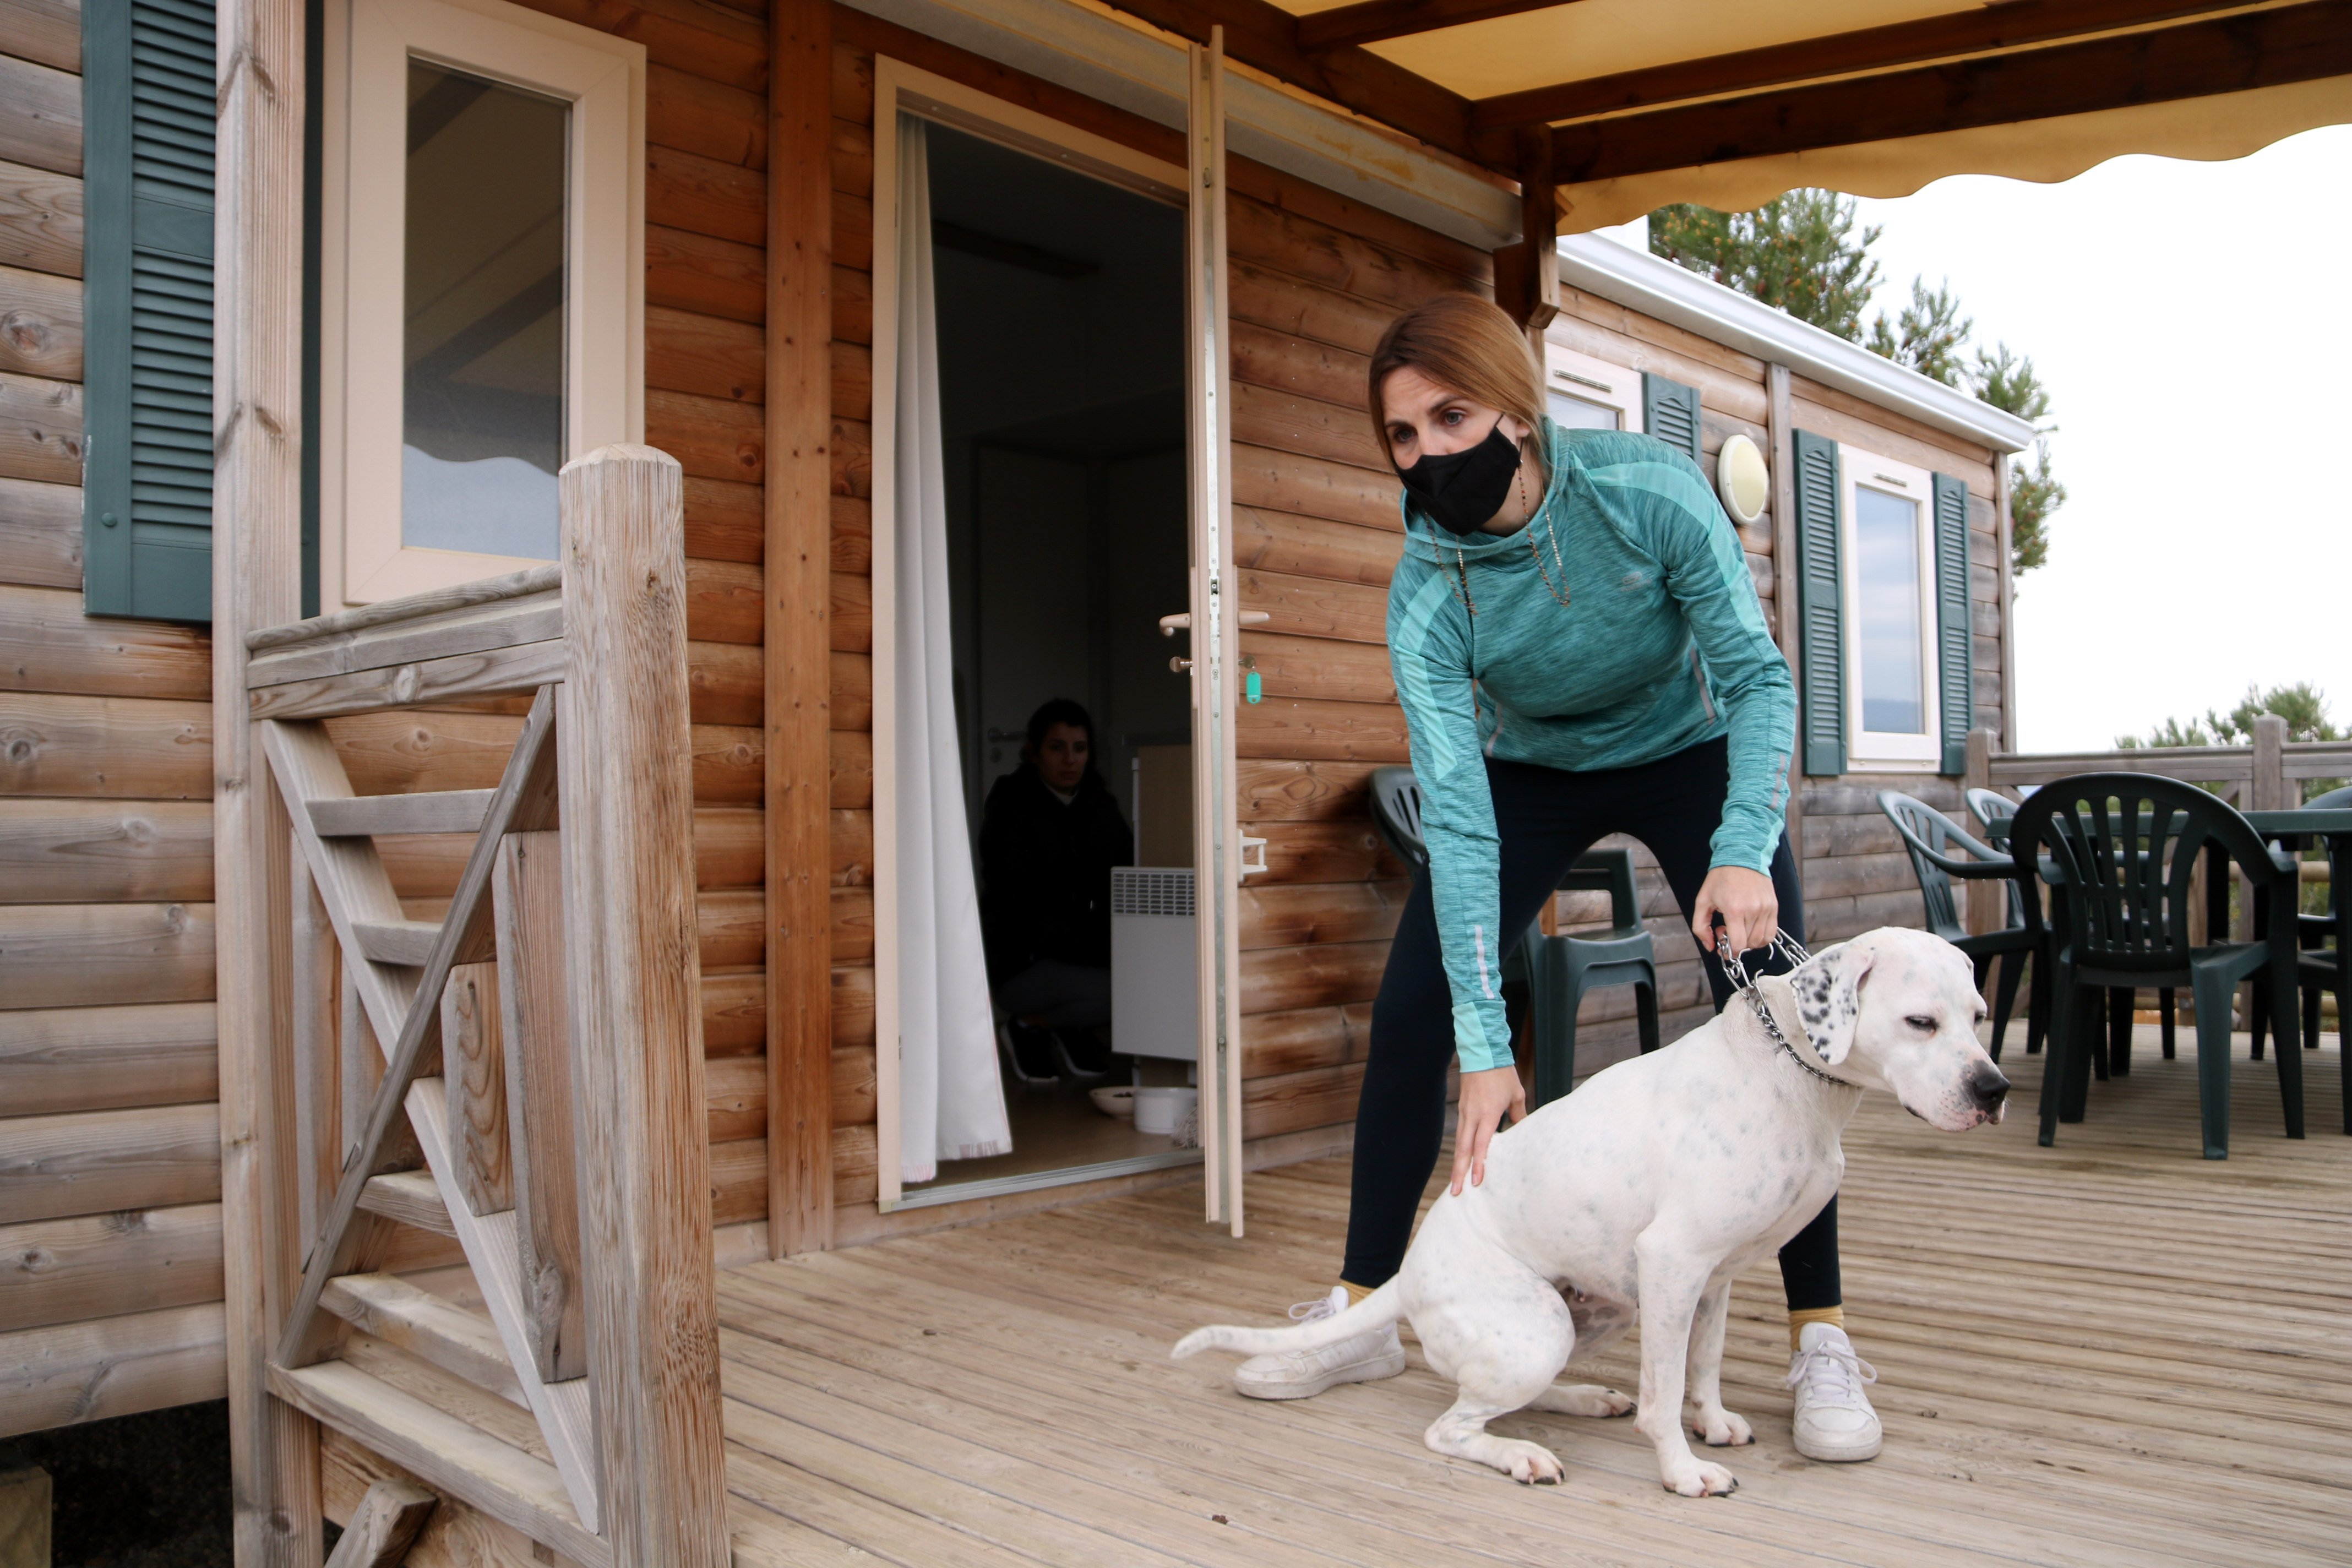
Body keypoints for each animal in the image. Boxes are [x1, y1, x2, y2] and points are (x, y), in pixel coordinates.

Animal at [1176, 926, 2003, 1504]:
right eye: (1921, 1022)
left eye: (1979, 1015)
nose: (1992, 1090)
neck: (1790, 1070)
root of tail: (1407, 1277)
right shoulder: (1673, 1261)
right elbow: (1663, 1395)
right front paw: (1683, 1469)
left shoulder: (1713, 1279)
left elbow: (1702, 1365)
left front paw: (1713, 1423)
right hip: (1538, 1326)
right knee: (1452, 1426)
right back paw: (1522, 1455)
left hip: (1597, 1313)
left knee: (1506, 1396)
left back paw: (1583, 1399)